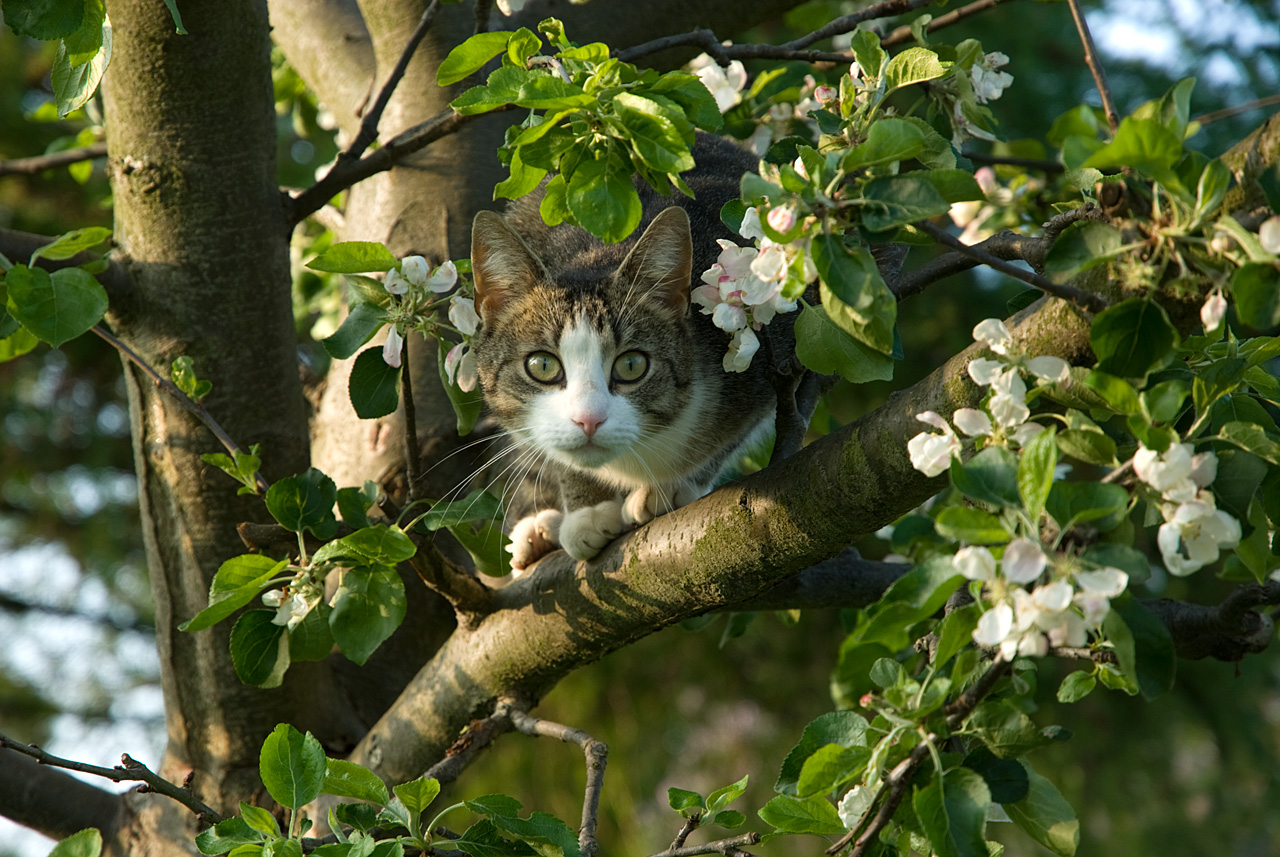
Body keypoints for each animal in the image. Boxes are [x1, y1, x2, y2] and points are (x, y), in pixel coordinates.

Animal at [473, 134, 788, 570]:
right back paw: (539, 529)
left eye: (633, 364)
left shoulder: (767, 364)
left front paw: (669, 487)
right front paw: (587, 511)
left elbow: (729, 437)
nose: (588, 420)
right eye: (541, 365)